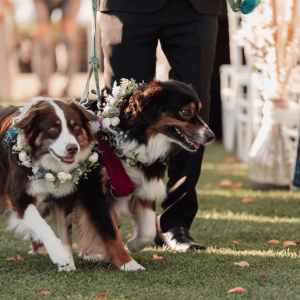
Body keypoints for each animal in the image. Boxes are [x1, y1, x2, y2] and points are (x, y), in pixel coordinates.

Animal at [0, 97, 98, 270]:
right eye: (53, 129)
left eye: (76, 126)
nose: (73, 148)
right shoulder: (18, 199)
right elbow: (41, 225)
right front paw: (59, 255)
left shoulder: (63, 198)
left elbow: (65, 233)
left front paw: (68, 266)